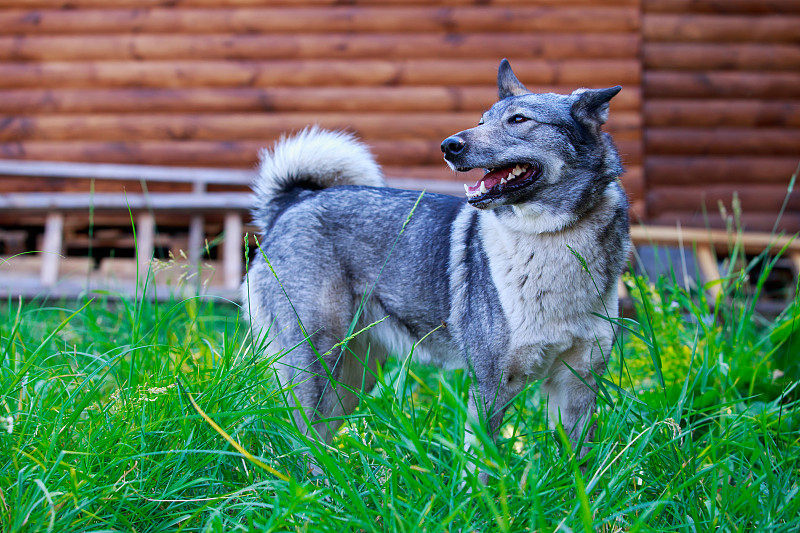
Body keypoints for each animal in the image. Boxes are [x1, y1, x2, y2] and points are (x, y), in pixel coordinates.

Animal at [241, 59, 628, 478]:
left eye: (519, 119)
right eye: (480, 120)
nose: (449, 146)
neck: (551, 237)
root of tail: (292, 204)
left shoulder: (577, 385)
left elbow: (580, 464)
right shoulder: (490, 384)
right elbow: (482, 464)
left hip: (353, 376)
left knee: (321, 431)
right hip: (316, 360)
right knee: (299, 434)